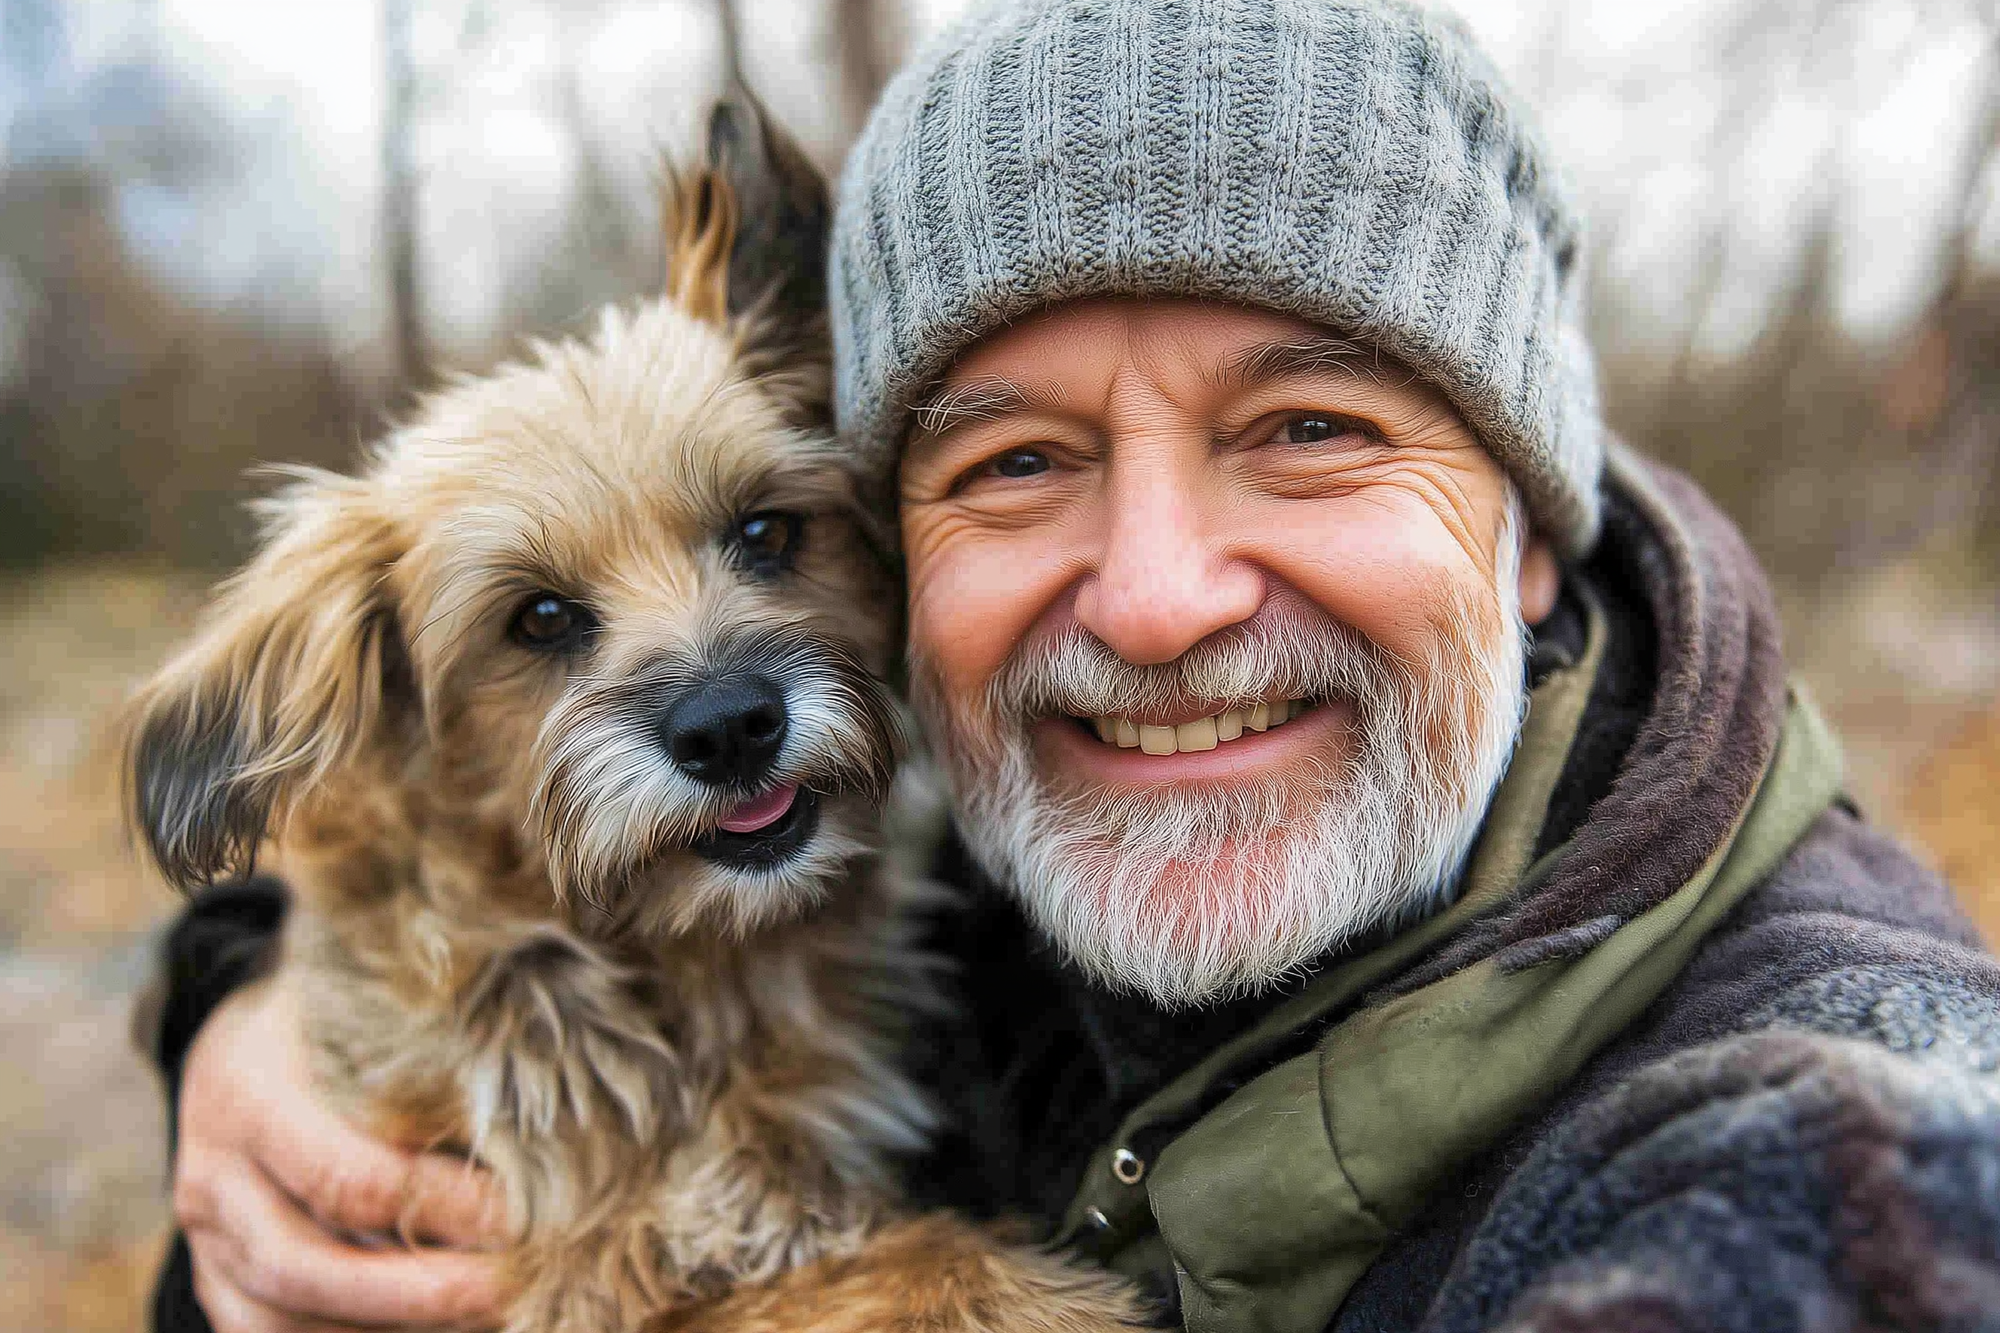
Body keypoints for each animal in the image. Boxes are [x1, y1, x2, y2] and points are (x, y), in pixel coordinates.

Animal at [129, 91, 1144, 1328]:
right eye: (538, 617)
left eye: (764, 530)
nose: (729, 728)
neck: (672, 960)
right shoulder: (623, 1265)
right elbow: (926, 1262)